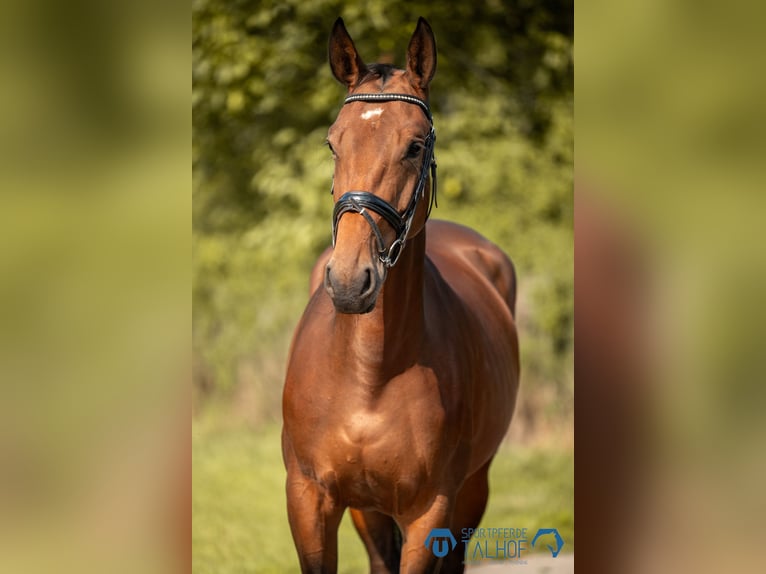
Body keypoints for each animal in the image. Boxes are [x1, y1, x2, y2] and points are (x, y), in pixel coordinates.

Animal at [282, 18, 520, 574]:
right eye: (333, 143)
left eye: (414, 146)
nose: (351, 281)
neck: (371, 372)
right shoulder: (308, 499)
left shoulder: (430, 511)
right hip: (367, 509)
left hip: (472, 489)